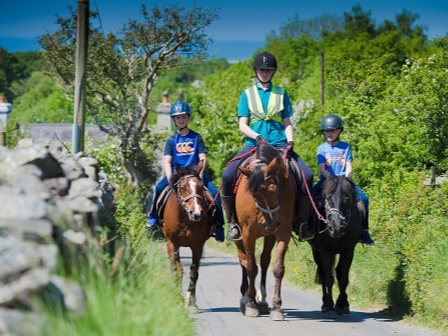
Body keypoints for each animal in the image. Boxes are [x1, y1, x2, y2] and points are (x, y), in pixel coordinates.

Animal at [161, 161, 215, 314]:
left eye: (201, 187)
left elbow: (194, 272)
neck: (185, 218)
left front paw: (191, 303)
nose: (196, 213)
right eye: (183, 188)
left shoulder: (198, 245)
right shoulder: (172, 243)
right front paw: (177, 298)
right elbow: (177, 270)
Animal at [233, 142, 296, 320]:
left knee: (264, 260)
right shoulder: (248, 234)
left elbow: (278, 268)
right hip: (240, 237)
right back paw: (245, 298)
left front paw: (277, 307)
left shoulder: (283, 232)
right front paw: (251, 304)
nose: (271, 224)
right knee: (243, 260)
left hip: (269, 236)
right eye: (254, 194)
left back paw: (262, 300)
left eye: (275, 189)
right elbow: (251, 267)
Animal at [308, 176, 364, 316]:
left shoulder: (348, 251)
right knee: (323, 273)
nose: (336, 228)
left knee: (338, 272)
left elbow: (343, 278)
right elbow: (328, 278)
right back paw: (325, 302)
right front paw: (329, 305)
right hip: (316, 251)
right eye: (328, 198)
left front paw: (342, 304)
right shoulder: (325, 251)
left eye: (346, 200)